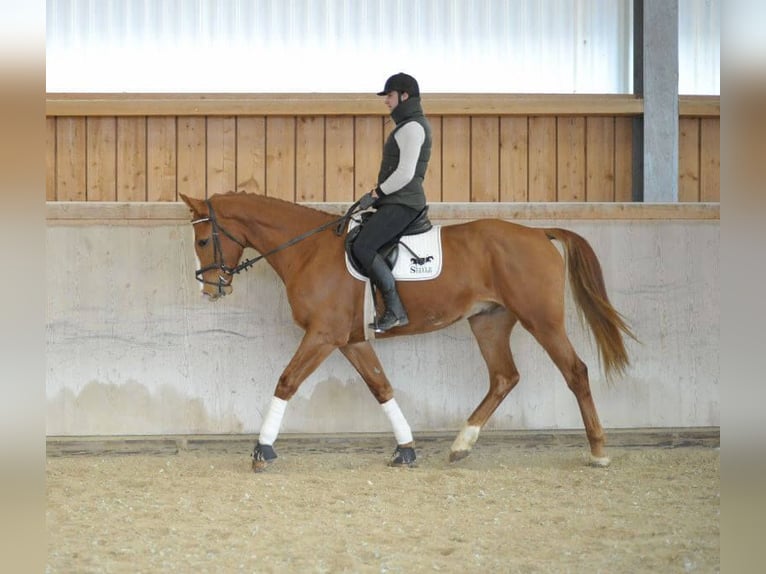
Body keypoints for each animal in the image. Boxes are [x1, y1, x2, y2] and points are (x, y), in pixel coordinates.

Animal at [182, 194, 636, 472]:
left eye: (203, 240)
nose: (210, 289)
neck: (307, 250)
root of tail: (538, 233)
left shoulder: (323, 335)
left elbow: (287, 382)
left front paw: (262, 450)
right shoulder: (351, 340)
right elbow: (381, 388)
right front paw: (406, 450)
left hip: (541, 320)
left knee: (575, 372)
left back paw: (598, 452)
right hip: (489, 321)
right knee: (504, 377)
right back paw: (461, 445)